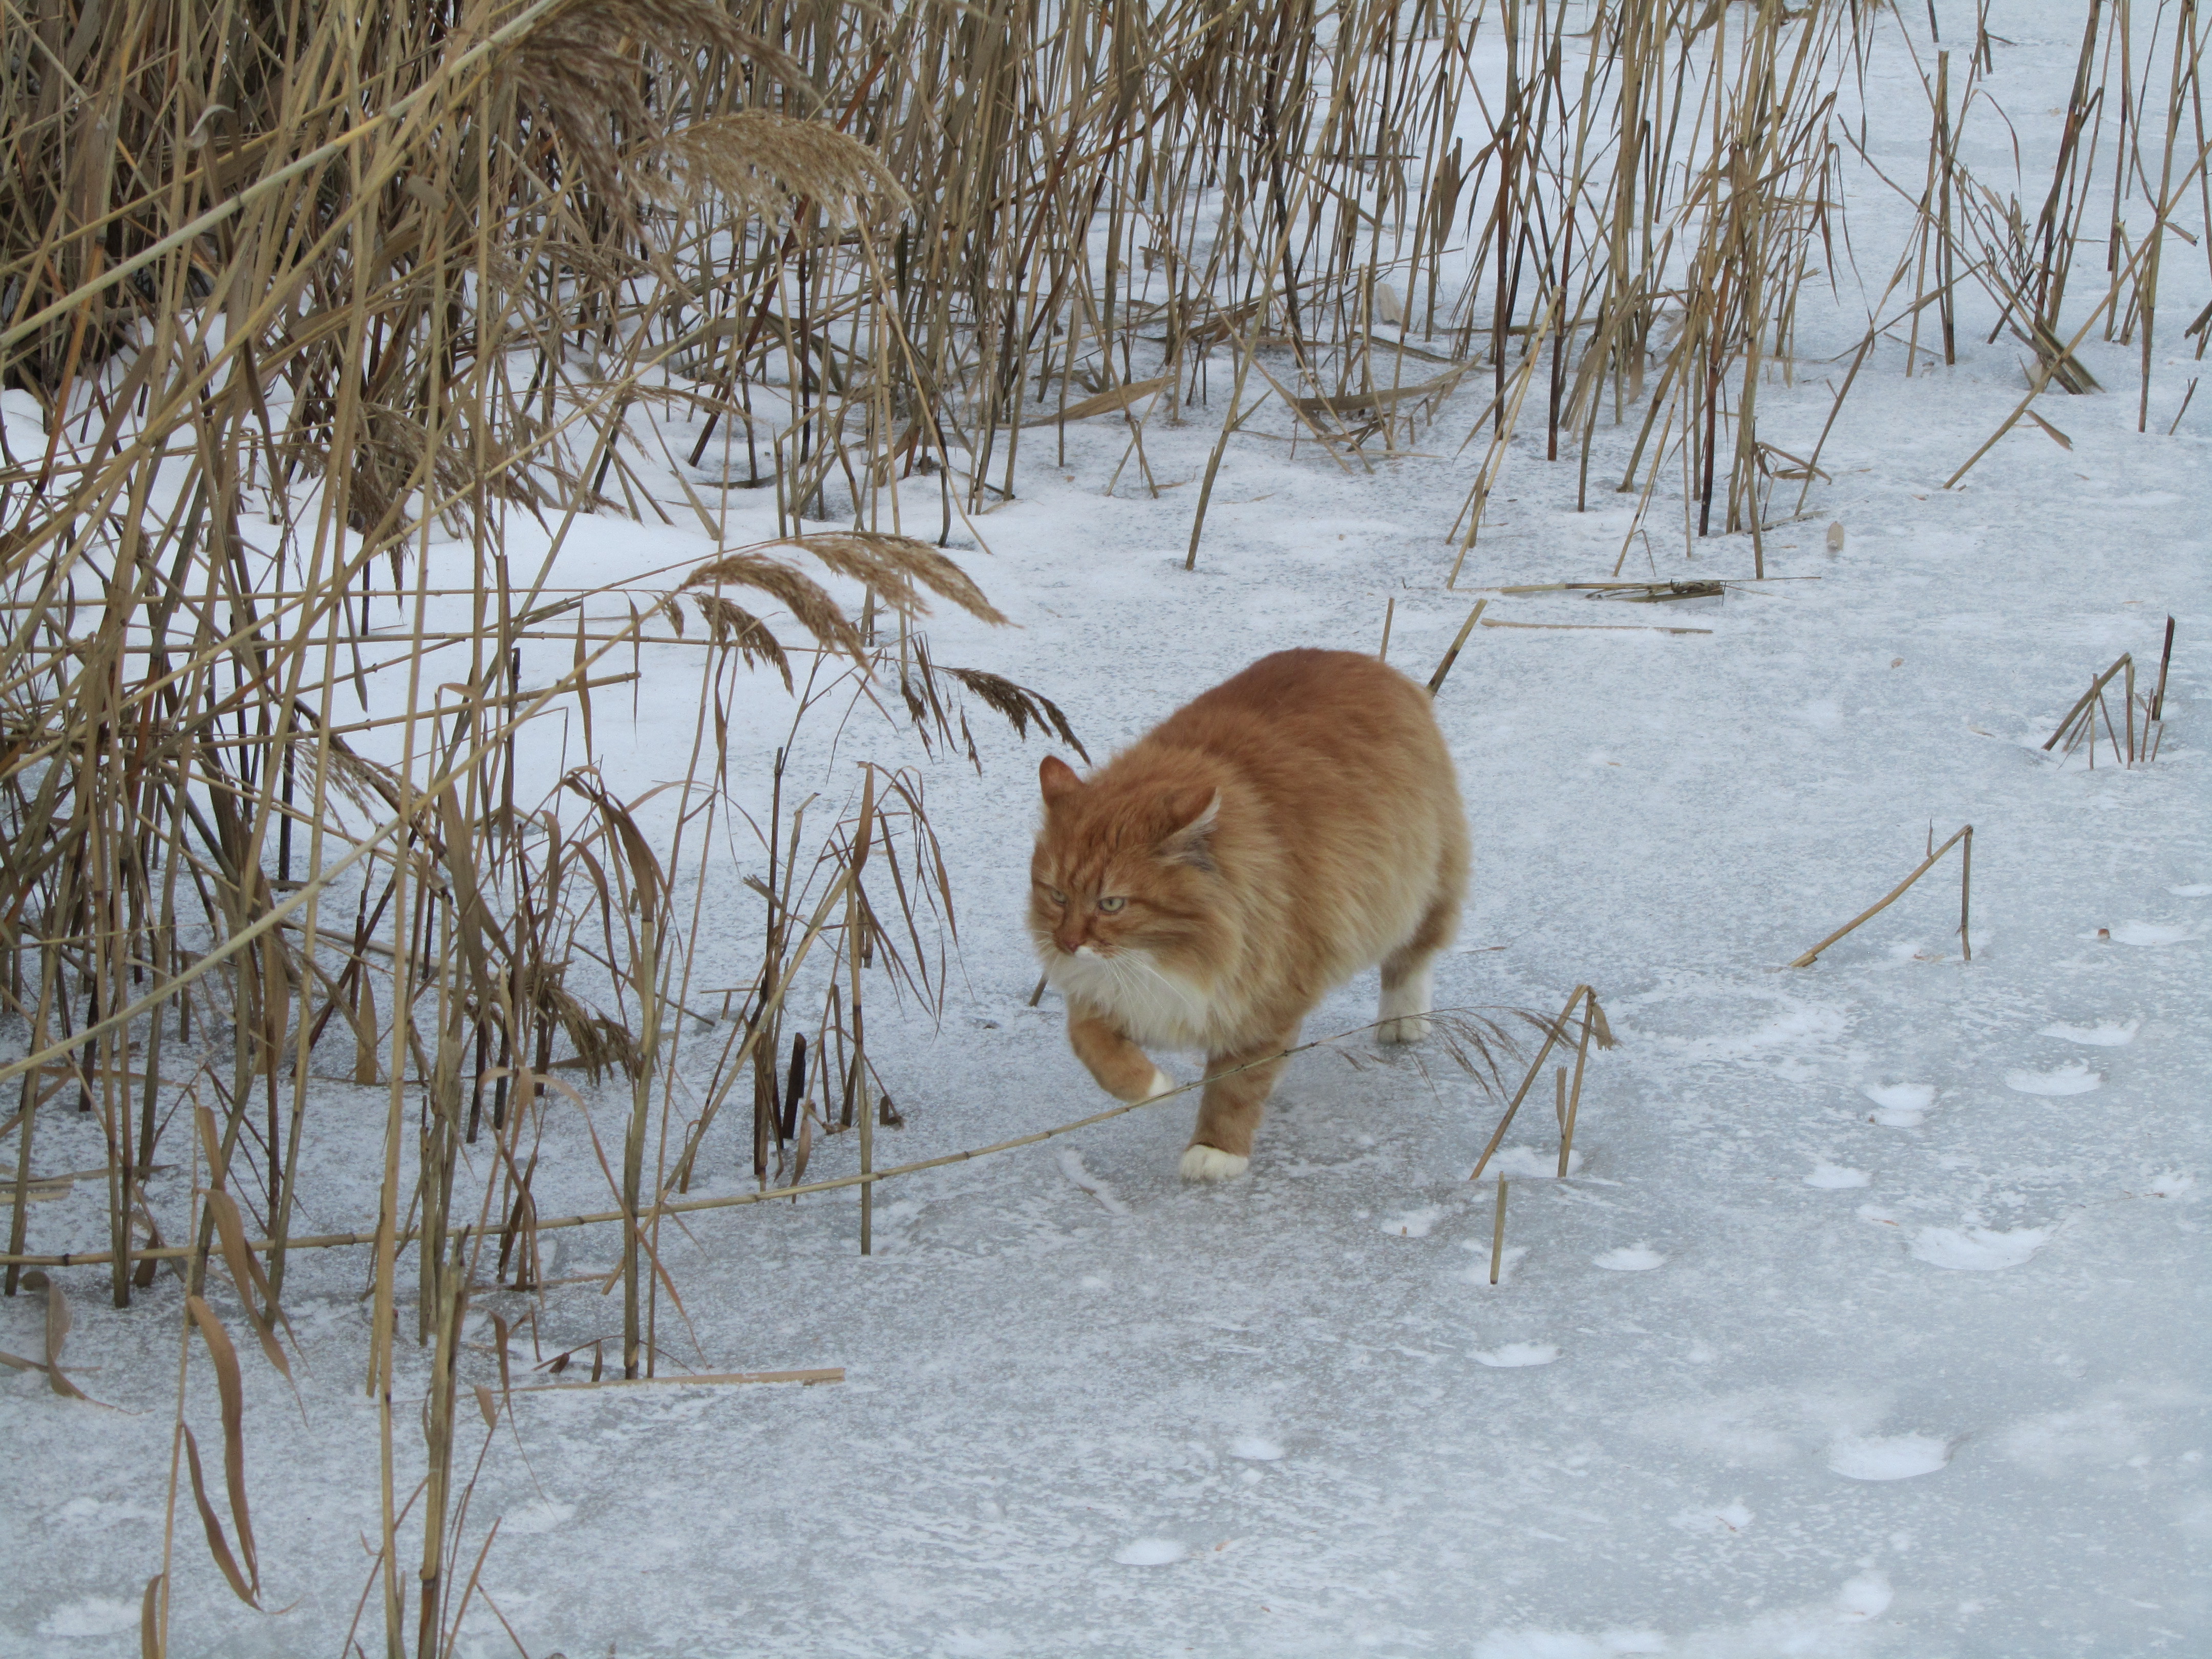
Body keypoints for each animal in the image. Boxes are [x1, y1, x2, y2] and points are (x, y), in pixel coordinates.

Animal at [1031, 650, 1469, 1185]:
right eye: (1057, 895)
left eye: (1111, 904)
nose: (1068, 944)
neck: (1170, 952)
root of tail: (1369, 663)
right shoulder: (1111, 997)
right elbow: (1095, 1049)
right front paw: (1151, 1086)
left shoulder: (1263, 996)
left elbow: (1233, 1090)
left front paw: (1216, 1150)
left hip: (1420, 886)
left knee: (1413, 957)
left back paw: (1403, 1019)